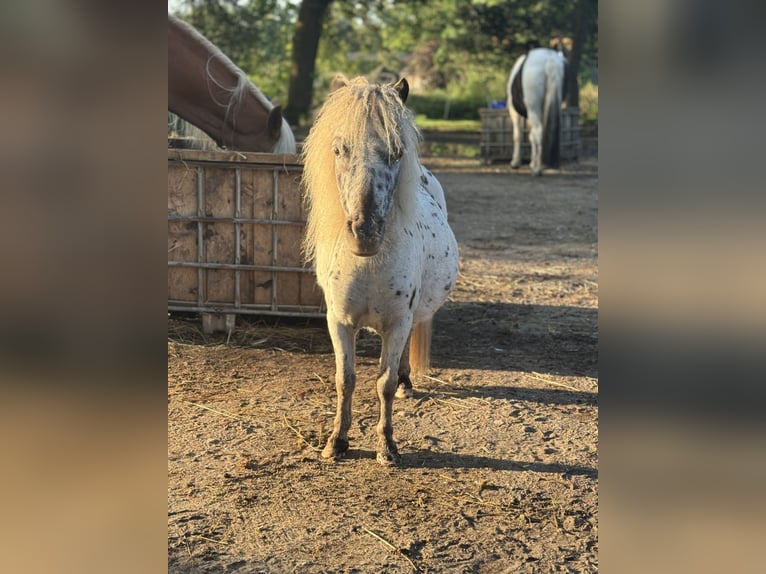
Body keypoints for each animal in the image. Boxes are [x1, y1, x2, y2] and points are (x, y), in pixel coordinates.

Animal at [302, 75, 459, 466]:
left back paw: (406, 384)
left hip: (409, 319)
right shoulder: (339, 322)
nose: (365, 232)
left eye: (397, 152)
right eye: (339, 149)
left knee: (401, 360)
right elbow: (345, 380)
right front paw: (337, 442)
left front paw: (387, 447)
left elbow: (383, 383)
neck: (368, 265)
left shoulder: (397, 322)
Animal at [506, 47, 568, 175]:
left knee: (538, 131)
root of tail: (550, 60)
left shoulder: (515, 112)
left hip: (532, 108)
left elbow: (517, 135)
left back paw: (537, 170)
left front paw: (516, 162)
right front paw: (532, 162)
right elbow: (531, 137)